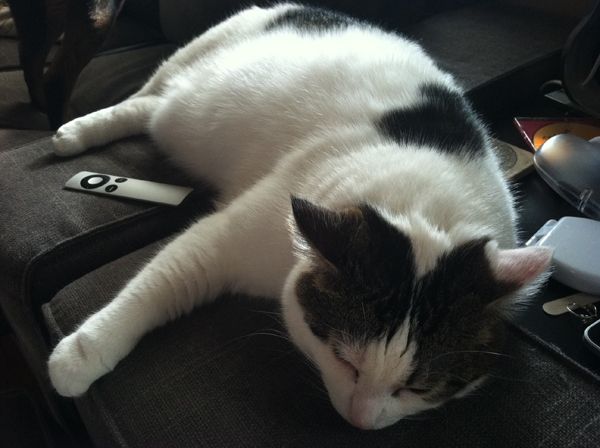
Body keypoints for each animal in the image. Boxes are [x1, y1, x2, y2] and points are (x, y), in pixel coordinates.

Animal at [47, 3, 552, 430]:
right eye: (346, 361)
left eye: (419, 388)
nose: (361, 422)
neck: (423, 210)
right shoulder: (223, 240)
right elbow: (157, 285)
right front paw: (81, 355)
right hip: (191, 59)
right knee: (145, 100)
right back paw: (74, 133)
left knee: (155, 107)